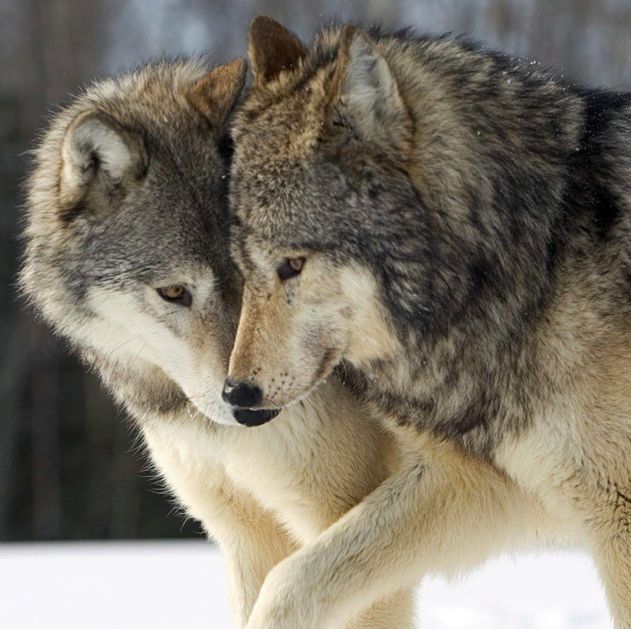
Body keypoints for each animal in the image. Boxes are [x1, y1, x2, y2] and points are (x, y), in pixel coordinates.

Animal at [226, 15, 631, 628]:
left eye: (292, 264)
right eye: (243, 266)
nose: (235, 395)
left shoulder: (615, 514)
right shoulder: (473, 485)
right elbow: (288, 582)